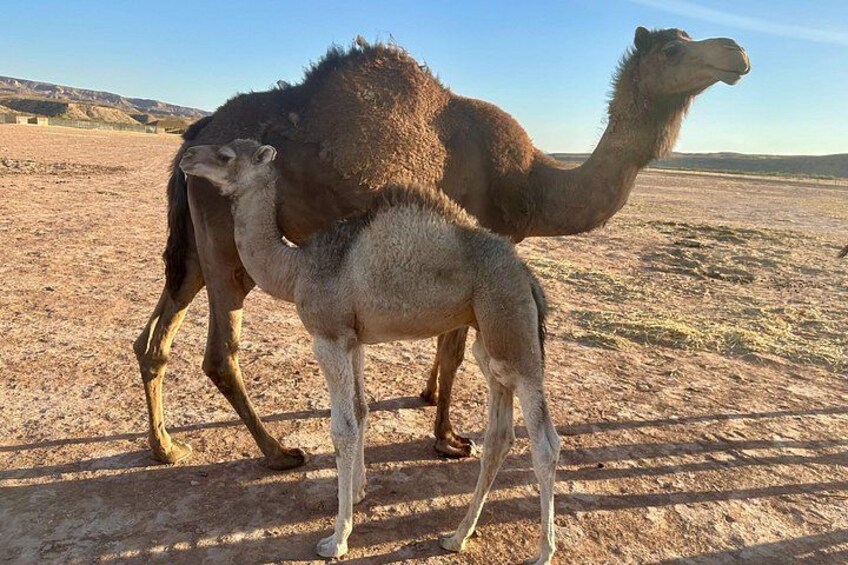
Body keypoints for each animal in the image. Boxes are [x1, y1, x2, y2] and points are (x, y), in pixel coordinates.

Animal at [134, 27, 750, 468]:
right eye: (673, 48)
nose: (737, 52)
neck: (532, 181)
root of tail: (196, 134)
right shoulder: (477, 233)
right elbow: (453, 349)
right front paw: (449, 438)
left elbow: (443, 345)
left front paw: (429, 399)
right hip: (226, 242)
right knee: (220, 352)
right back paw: (279, 452)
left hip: (195, 245)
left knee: (153, 335)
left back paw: (166, 447)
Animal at [179, 139, 561, 563]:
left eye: (226, 155)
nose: (188, 156)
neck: (297, 269)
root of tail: (528, 277)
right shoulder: (354, 340)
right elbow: (361, 412)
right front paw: (359, 491)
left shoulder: (327, 337)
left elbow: (342, 429)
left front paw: (337, 538)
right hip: (490, 337)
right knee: (498, 437)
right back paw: (457, 536)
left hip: (512, 329)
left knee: (546, 443)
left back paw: (543, 550)